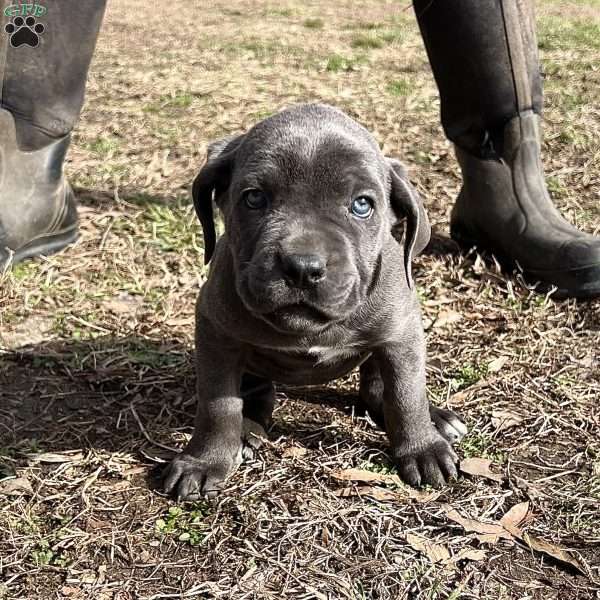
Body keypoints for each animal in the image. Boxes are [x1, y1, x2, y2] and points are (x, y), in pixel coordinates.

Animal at [164, 104, 468, 502]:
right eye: (254, 198)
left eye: (362, 205)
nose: (303, 268)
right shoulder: (216, 332)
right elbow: (218, 405)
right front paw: (204, 461)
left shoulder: (401, 334)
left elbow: (406, 395)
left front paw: (422, 447)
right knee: (256, 394)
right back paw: (247, 431)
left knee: (377, 389)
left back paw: (438, 420)